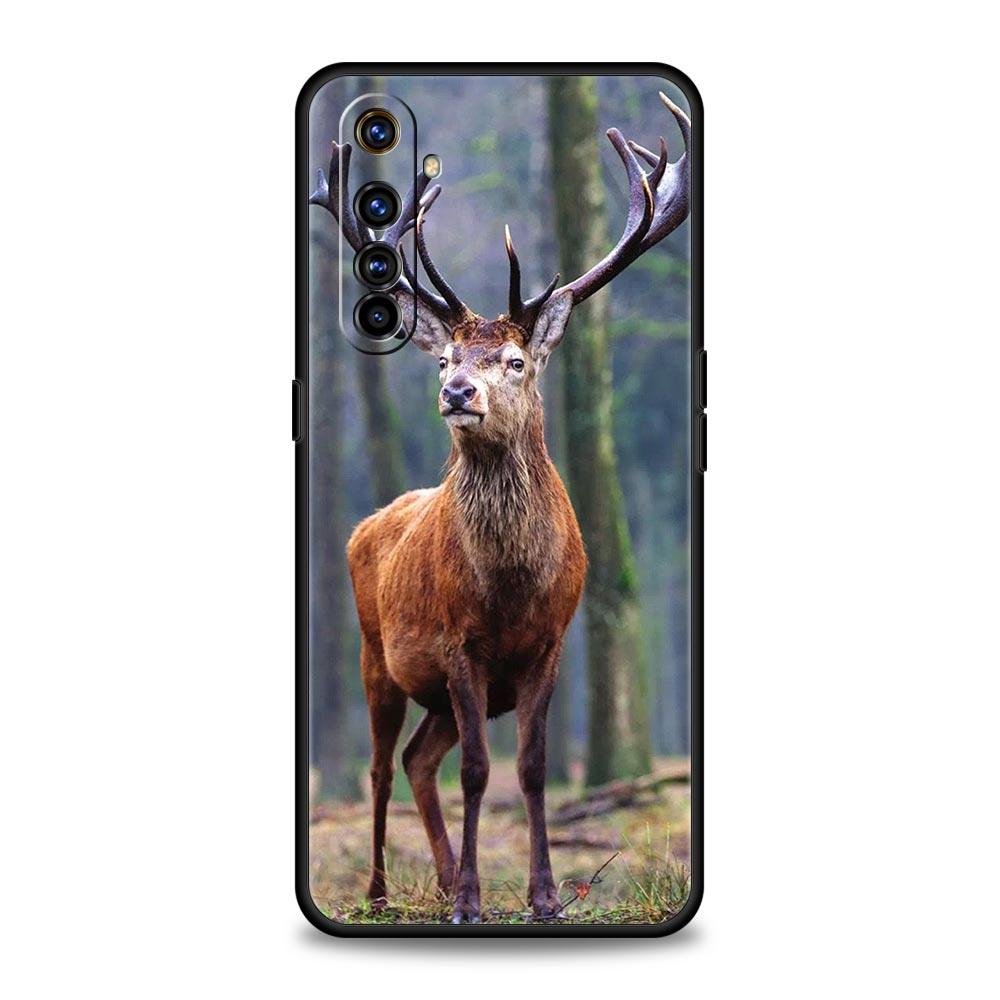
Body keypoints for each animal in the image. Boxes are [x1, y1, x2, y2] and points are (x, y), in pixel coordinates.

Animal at [309, 92, 691, 922]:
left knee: (420, 760)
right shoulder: (459, 644)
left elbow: (535, 767)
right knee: (385, 766)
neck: (510, 588)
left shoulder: (550, 641)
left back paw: (441, 874)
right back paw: (384, 891)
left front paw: (544, 895)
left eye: (514, 361)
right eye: (447, 359)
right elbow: (482, 772)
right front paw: (471, 901)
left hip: (435, 693)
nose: (457, 392)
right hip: (375, 655)